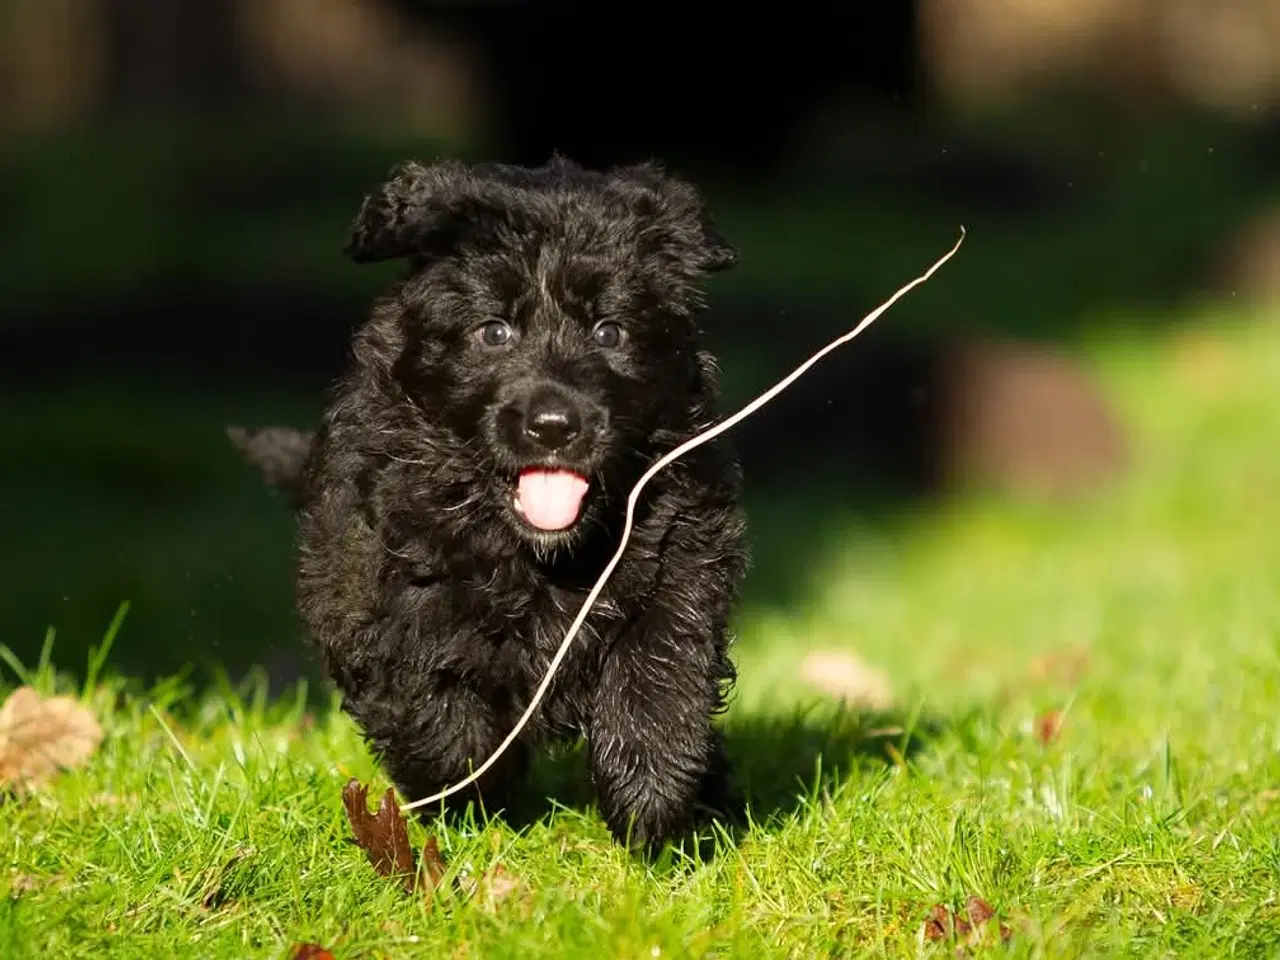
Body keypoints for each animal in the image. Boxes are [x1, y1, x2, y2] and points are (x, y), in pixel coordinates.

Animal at [235, 154, 747, 855]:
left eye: (609, 330)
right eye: (494, 330)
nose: (554, 425)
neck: (551, 554)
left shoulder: (683, 548)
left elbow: (663, 665)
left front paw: (652, 795)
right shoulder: (381, 584)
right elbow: (431, 704)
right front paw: (471, 797)